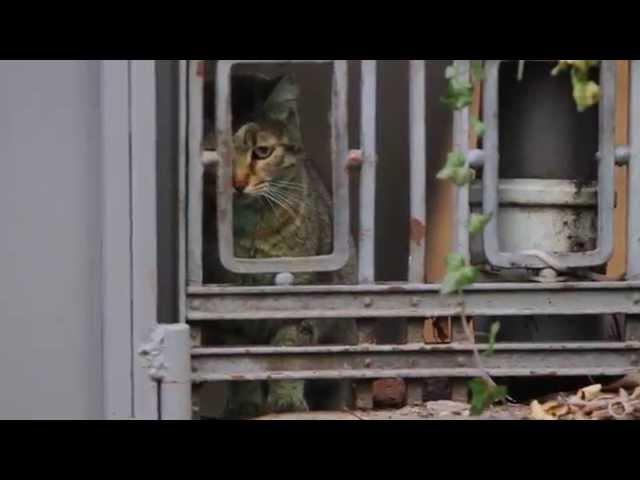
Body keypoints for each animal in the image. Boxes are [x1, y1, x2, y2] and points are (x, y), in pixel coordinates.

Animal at [202, 69, 358, 418]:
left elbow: (289, 349)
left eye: (261, 152)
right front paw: (244, 404)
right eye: (214, 157)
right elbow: (238, 358)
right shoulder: (225, 304)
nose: (237, 184)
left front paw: (286, 400)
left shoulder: (300, 291)